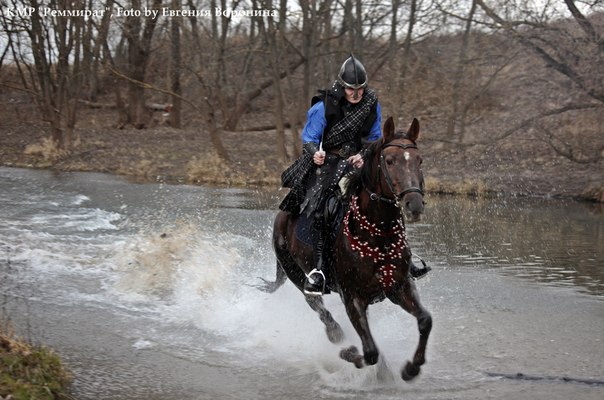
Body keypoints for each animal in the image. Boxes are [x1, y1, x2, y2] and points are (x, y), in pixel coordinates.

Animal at [258, 116, 430, 382]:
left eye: (419, 160)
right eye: (390, 161)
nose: (415, 204)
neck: (378, 235)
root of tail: (282, 215)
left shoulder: (400, 286)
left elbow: (424, 320)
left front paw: (411, 368)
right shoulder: (352, 297)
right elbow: (369, 352)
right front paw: (351, 355)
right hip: (297, 275)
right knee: (321, 311)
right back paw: (340, 340)